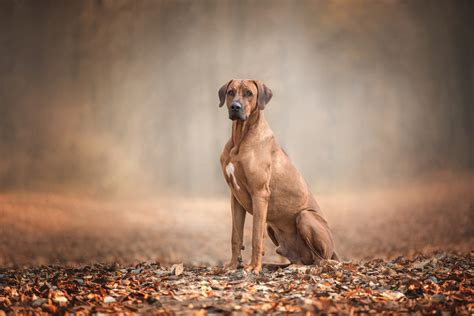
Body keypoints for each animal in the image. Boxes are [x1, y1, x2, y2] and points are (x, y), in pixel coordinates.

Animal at [218, 79, 336, 274]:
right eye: (230, 92)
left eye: (249, 93)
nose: (235, 107)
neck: (240, 138)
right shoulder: (235, 197)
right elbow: (236, 235)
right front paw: (233, 265)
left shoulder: (260, 194)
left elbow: (256, 236)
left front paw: (254, 267)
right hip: (272, 227)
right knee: (303, 259)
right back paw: (282, 265)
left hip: (305, 216)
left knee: (321, 260)